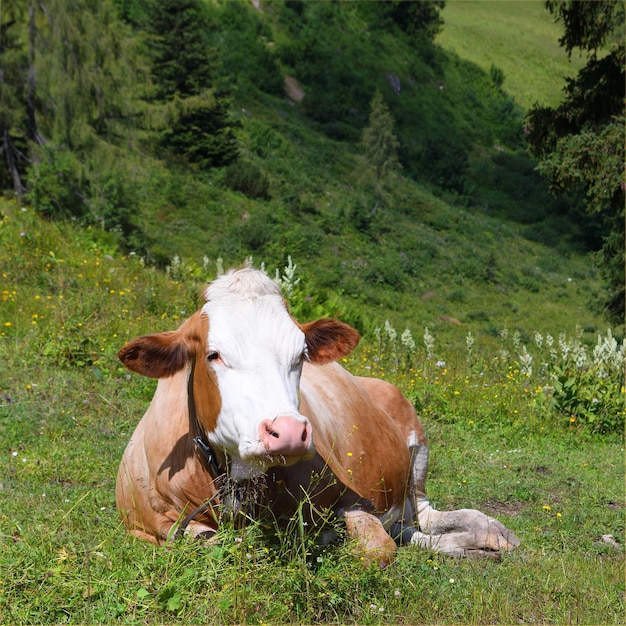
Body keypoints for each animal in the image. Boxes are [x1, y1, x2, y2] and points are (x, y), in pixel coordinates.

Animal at [116, 266, 516, 564]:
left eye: (300, 354)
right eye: (213, 355)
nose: (289, 431)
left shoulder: (353, 498)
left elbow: (376, 549)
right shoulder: (145, 525)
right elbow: (222, 544)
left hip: (415, 457)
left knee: (425, 517)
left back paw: (493, 532)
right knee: (413, 532)